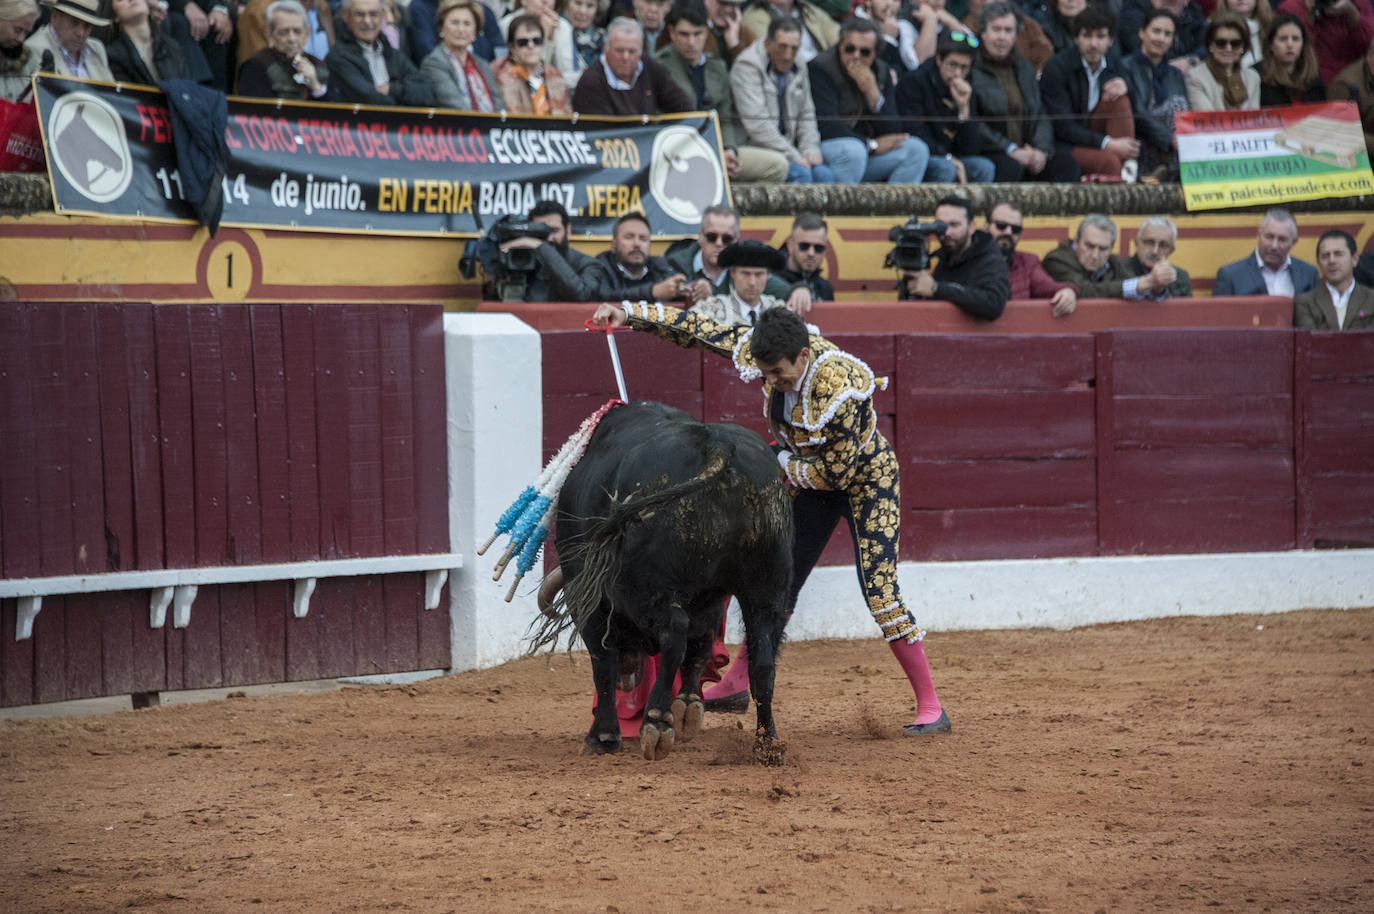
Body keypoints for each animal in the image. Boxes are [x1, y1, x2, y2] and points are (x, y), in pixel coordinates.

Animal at [535, 404, 796, 758]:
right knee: (763, 658)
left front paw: (603, 736)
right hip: (767, 588)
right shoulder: (710, 598)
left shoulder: (586, 596)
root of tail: (717, 446)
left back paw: (656, 723)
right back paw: (767, 744)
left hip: (650, 589)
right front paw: (688, 705)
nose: (629, 679)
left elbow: (602, 659)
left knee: (673, 633)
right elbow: (701, 644)